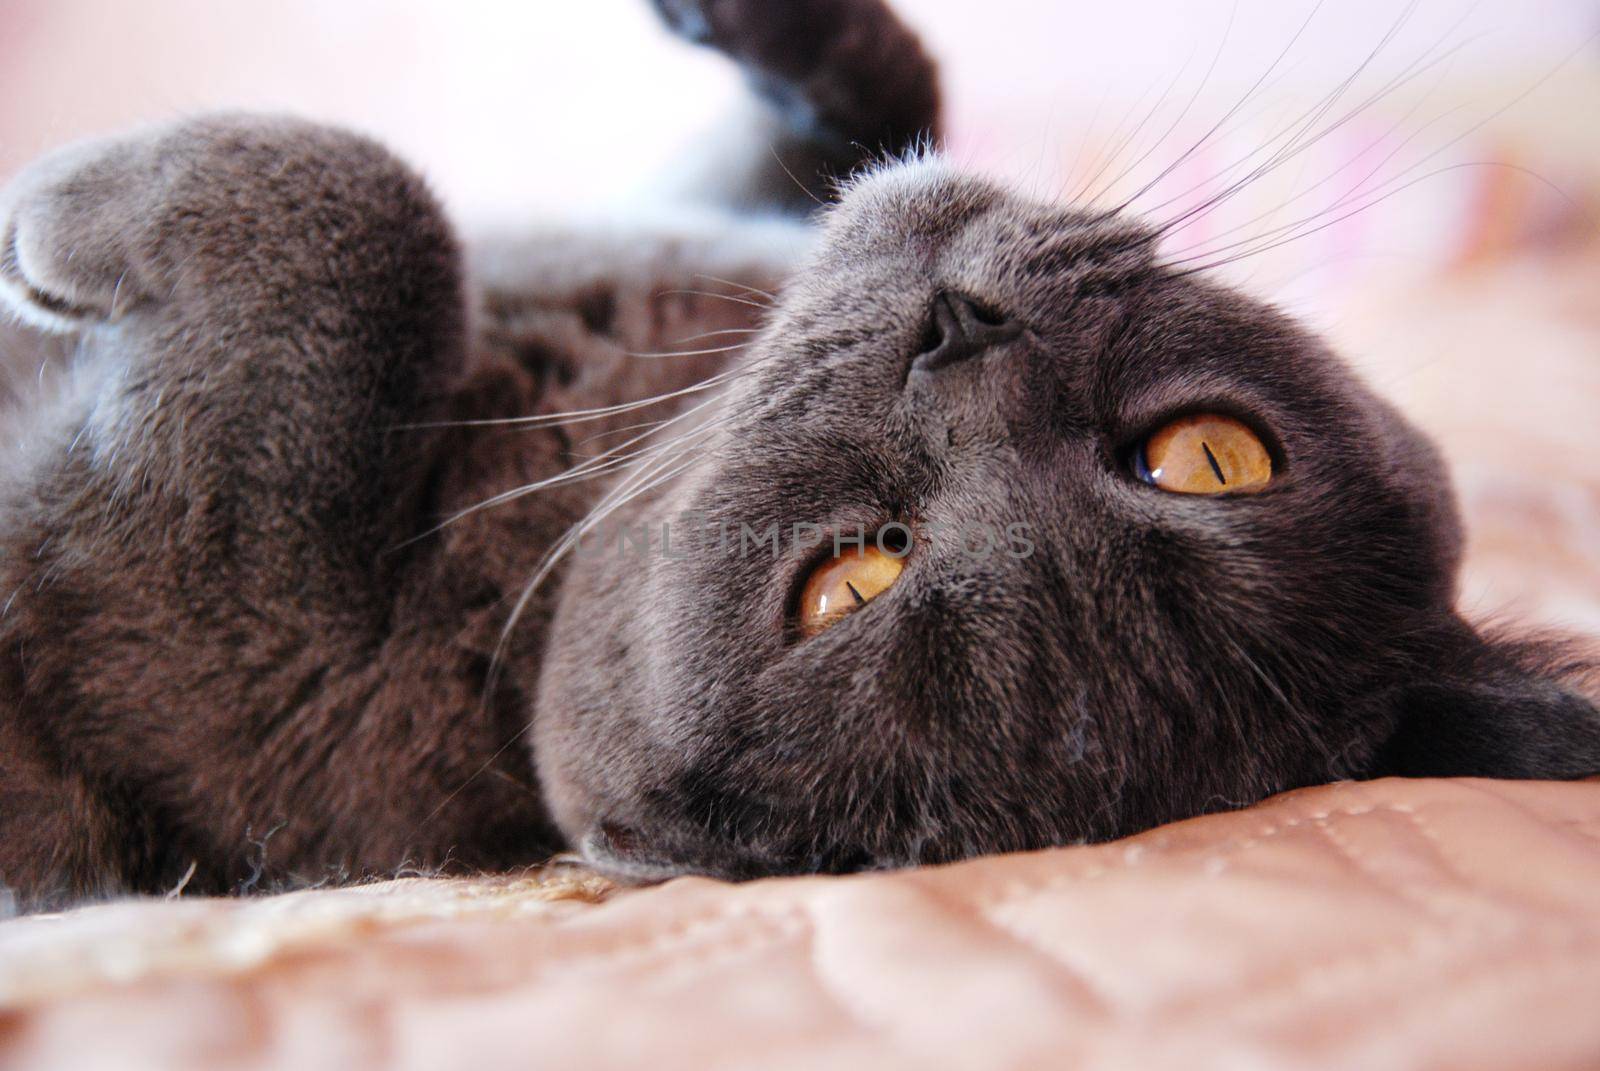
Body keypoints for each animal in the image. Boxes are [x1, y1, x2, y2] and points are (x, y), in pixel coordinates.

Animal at [3, 0, 1600, 909]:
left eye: (847, 580)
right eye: (1208, 456)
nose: (957, 331)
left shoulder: (229, 602)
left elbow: (376, 217)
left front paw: (49, 210)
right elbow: (879, 94)